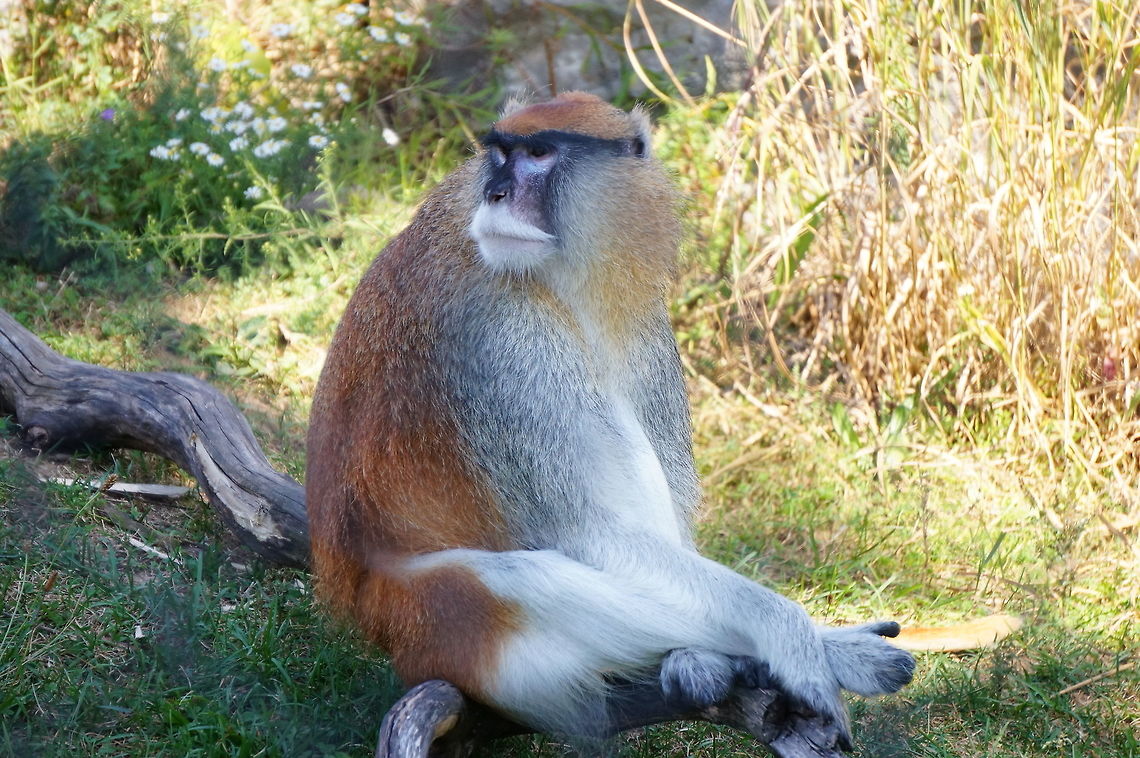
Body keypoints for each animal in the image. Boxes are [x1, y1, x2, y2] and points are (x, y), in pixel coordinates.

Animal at [305, 91, 917, 747]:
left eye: (538, 154)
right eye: (498, 154)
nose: (494, 193)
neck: (563, 274)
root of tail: (356, 608)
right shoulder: (501, 331)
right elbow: (590, 535)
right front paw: (789, 636)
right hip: (426, 615)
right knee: (521, 586)